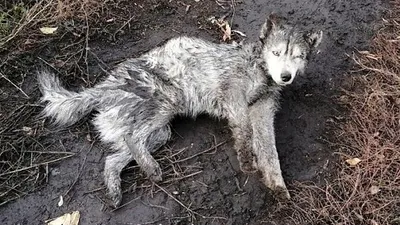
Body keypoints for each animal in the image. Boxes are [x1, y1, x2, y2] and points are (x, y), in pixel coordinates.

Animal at [37, 14, 322, 207]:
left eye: (298, 56)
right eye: (276, 52)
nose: (285, 77)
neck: (261, 69)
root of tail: (103, 87)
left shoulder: (262, 113)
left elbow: (270, 153)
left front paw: (278, 186)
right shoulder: (234, 98)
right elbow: (243, 131)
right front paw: (246, 160)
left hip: (159, 132)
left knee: (113, 159)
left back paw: (118, 187)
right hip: (166, 102)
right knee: (131, 138)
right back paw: (151, 169)